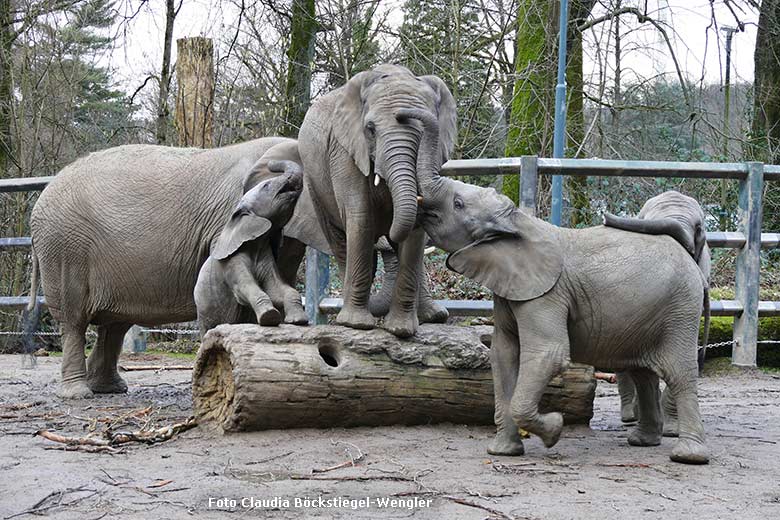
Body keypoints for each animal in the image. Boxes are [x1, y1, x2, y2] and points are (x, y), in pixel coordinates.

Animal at [193, 159, 310, 338]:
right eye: (266, 186)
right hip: (204, 311)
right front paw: (270, 317)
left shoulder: (265, 257)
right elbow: (247, 288)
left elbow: (276, 289)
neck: (256, 242)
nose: (271, 163)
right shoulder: (232, 261)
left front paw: (298, 321)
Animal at [284, 63, 458, 338]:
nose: (404, 113)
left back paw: (434, 317)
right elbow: (361, 216)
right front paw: (356, 325)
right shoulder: (344, 150)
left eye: (425, 132)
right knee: (339, 240)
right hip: (314, 183)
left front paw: (401, 330)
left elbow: (416, 231)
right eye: (371, 129)